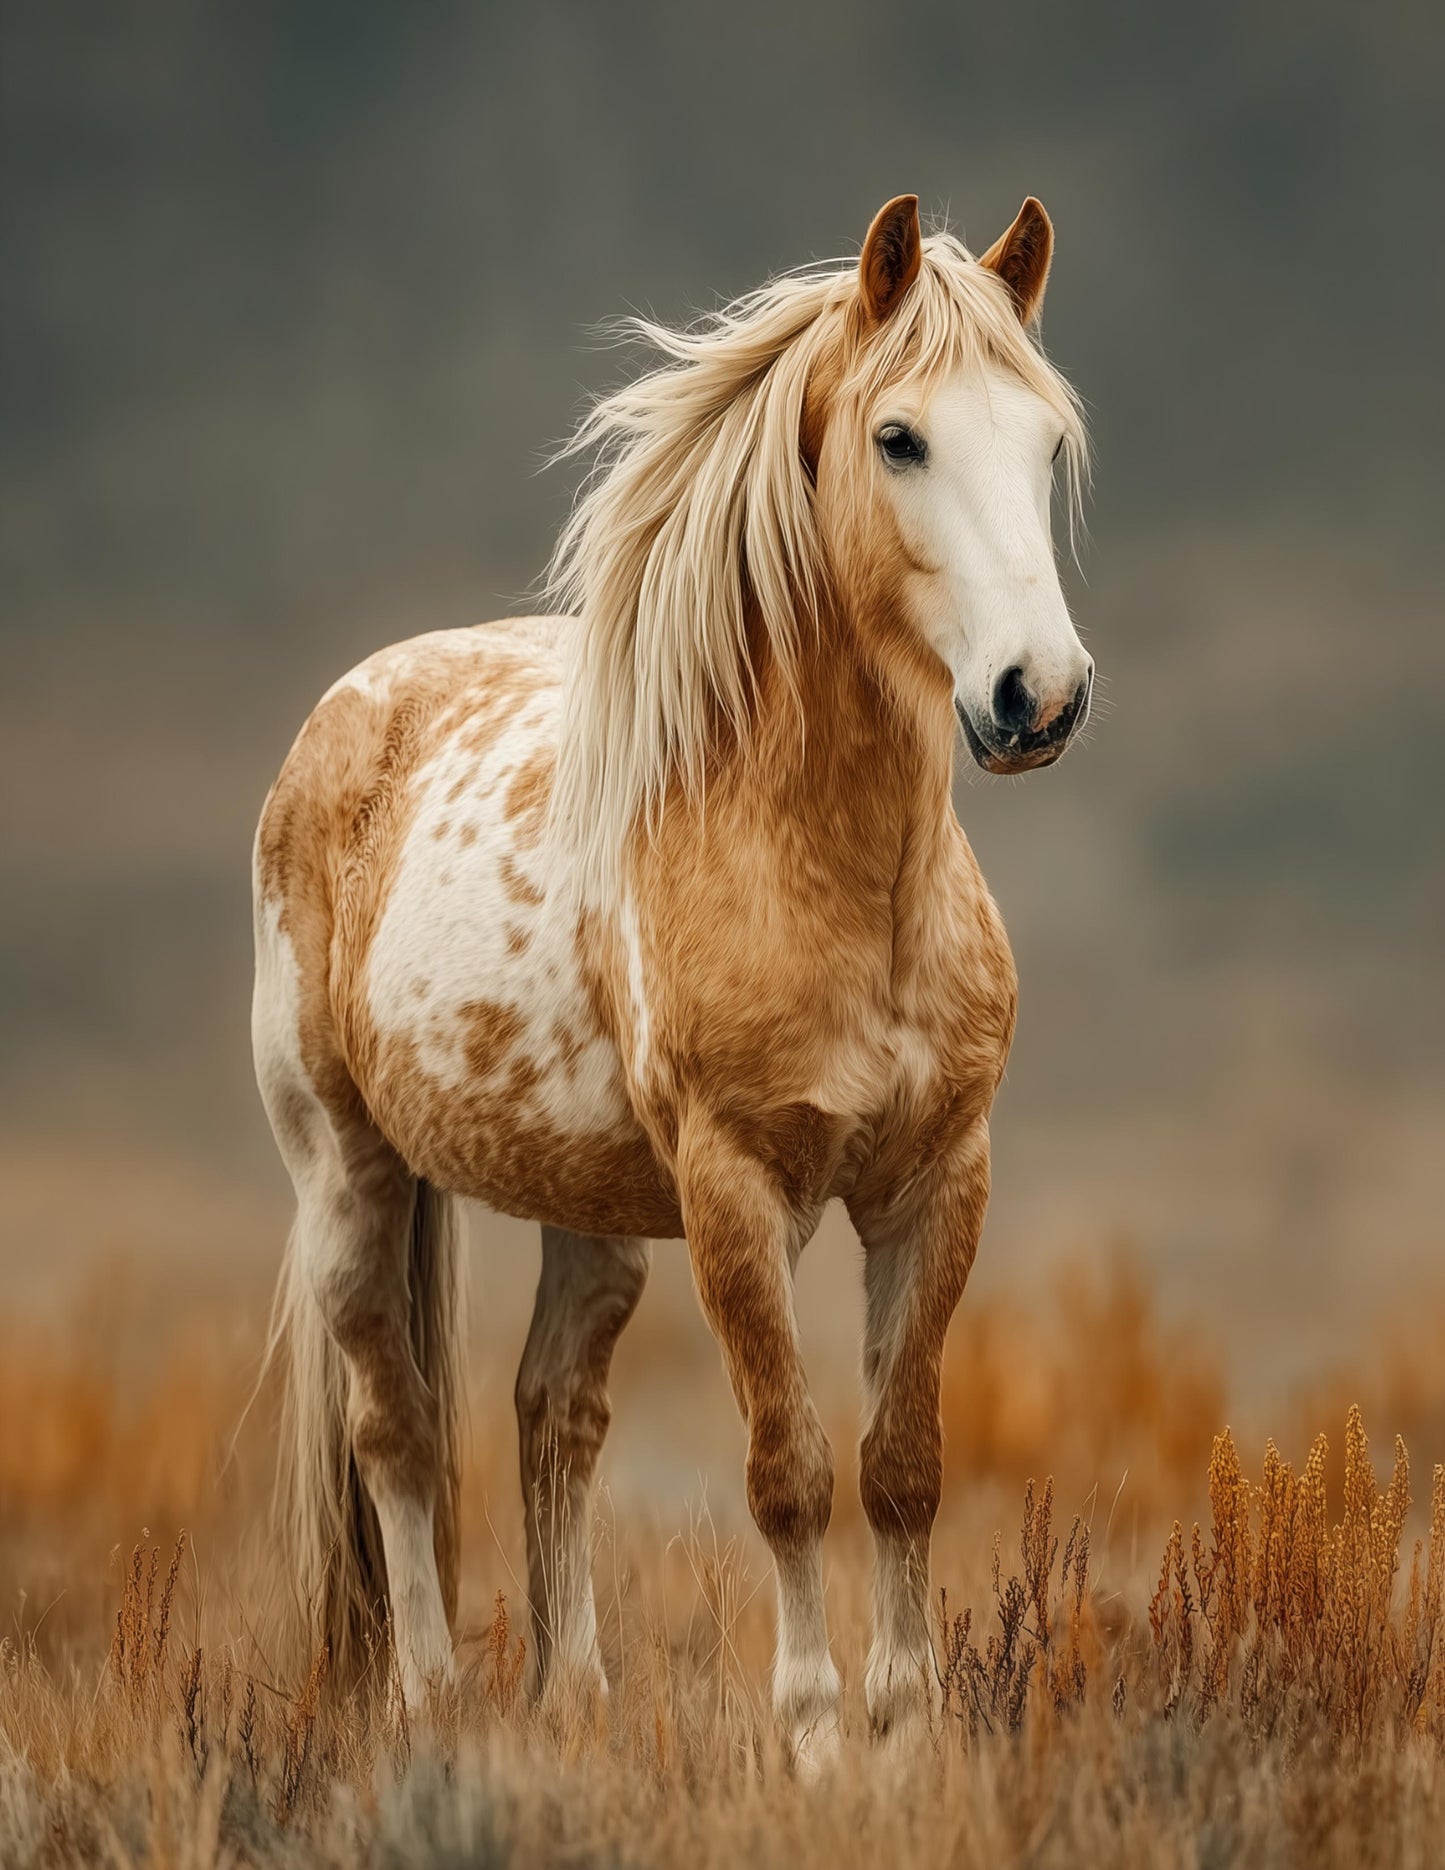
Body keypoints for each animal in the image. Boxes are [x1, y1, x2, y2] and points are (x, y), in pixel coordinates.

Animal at [251, 192, 1093, 1758]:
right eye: (900, 437)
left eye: (1046, 442)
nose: (1038, 696)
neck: (837, 879)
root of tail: (346, 712)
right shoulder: (732, 1188)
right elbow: (788, 1467)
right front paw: (814, 1737)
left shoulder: (937, 1179)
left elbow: (900, 1462)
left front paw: (906, 1733)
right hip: (346, 1171)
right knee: (395, 1424)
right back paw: (430, 1701)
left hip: (588, 1214)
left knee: (552, 1415)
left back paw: (572, 1697)